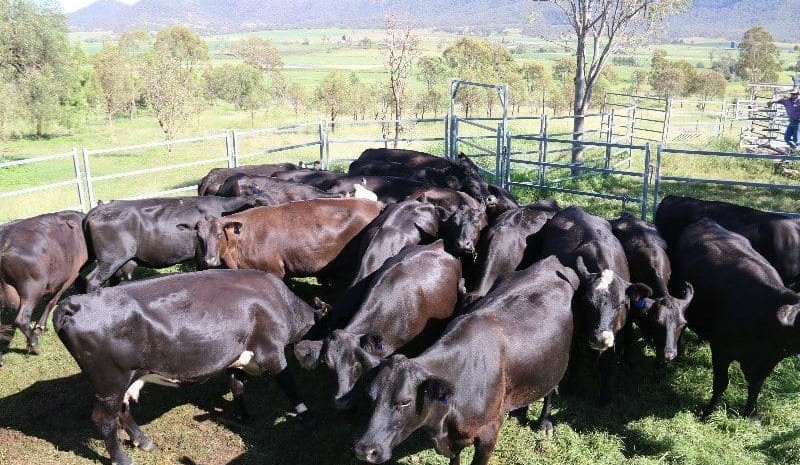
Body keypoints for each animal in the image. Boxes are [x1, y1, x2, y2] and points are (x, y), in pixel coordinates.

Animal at [0, 211, 89, 364]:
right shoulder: (71, 274)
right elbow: (53, 300)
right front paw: (41, 326)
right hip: (32, 289)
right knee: (22, 319)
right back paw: (34, 345)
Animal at [54, 269, 319, 465]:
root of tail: (74, 303)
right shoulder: (271, 350)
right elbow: (289, 385)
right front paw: (306, 417)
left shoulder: (234, 353)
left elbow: (236, 384)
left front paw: (242, 415)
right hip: (110, 381)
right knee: (104, 420)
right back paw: (123, 459)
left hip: (122, 380)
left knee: (123, 410)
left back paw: (144, 442)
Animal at [354, 255, 577, 465]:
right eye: (370, 397)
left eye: (405, 401)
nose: (365, 450)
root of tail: (550, 262)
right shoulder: (454, 441)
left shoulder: (489, 434)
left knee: (552, 387)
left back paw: (544, 423)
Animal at [537, 205, 651, 405]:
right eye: (587, 302)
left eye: (620, 304)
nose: (600, 338)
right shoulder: (575, 331)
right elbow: (575, 360)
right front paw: (571, 387)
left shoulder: (615, 333)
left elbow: (606, 364)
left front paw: (605, 397)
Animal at [673, 218, 800, 421]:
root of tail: (706, 221)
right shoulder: (721, 350)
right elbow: (721, 383)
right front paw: (708, 414)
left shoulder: (767, 362)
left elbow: (756, 386)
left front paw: (750, 414)